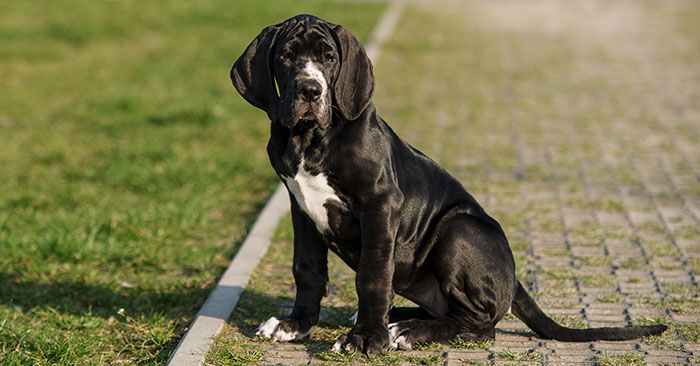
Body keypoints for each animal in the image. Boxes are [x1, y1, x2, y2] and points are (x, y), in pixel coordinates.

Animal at [231, 15, 668, 356]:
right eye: (287, 56)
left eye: (329, 58)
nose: (310, 89)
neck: (309, 139)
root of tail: (514, 278)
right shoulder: (300, 206)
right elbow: (307, 269)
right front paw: (295, 324)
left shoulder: (380, 205)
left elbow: (372, 275)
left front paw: (366, 338)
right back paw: (397, 320)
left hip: (458, 229)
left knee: (481, 324)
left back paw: (406, 330)